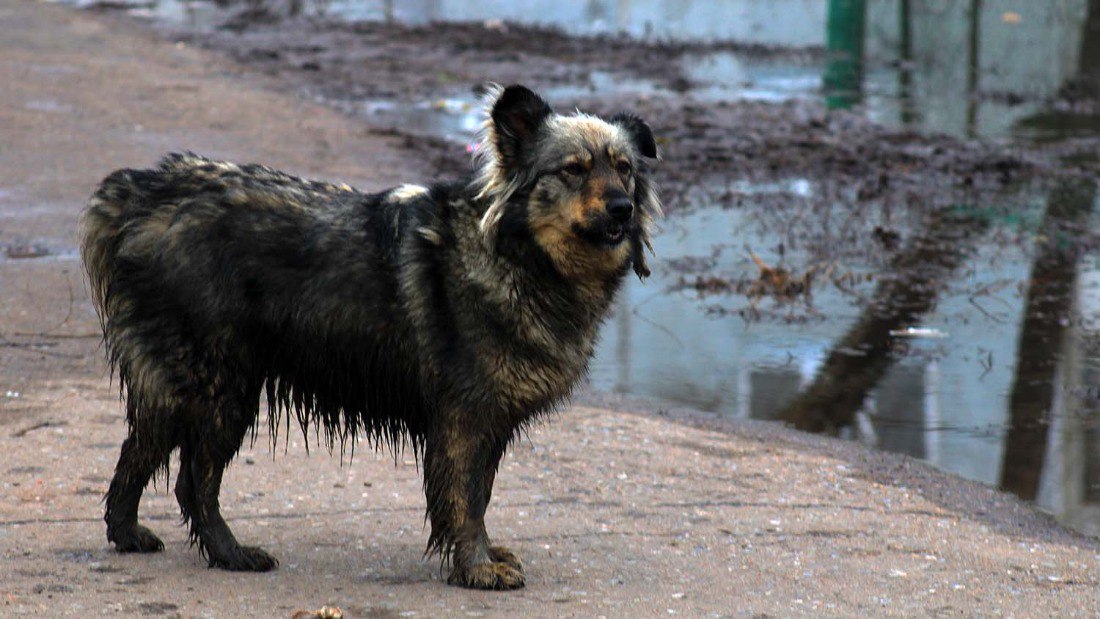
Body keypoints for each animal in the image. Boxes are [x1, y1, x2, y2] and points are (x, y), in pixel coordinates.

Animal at [81, 83, 660, 589]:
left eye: (625, 169)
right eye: (573, 170)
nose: (622, 208)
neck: (518, 255)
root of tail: (143, 192)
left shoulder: (487, 421)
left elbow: (479, 495)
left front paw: (482, 557)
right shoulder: (464, 418)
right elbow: (466, 502)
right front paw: (477, 568)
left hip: (187, 384)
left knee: (140, 451)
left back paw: (127, 534)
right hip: (220, 385)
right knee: (192, 480)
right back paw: (230, 554)